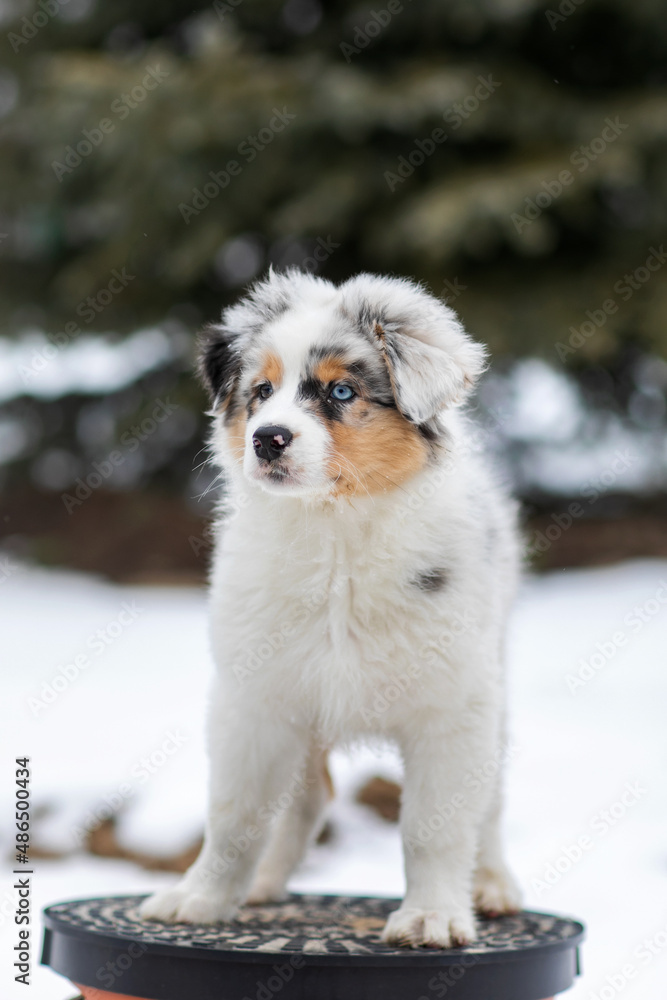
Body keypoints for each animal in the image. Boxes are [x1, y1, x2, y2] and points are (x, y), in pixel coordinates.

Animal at [141, 270, 524, 948]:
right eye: (262, 392)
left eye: (341, 390)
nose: (267, 439)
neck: (336, 534)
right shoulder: (255, 699)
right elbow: (235, 815)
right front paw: (199, 898)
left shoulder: (452, 707)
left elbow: (436, 824)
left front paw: (432, 916)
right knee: (306, 799)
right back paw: (264, 883)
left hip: (493, 682)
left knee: (492, 802)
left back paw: (493, 886)